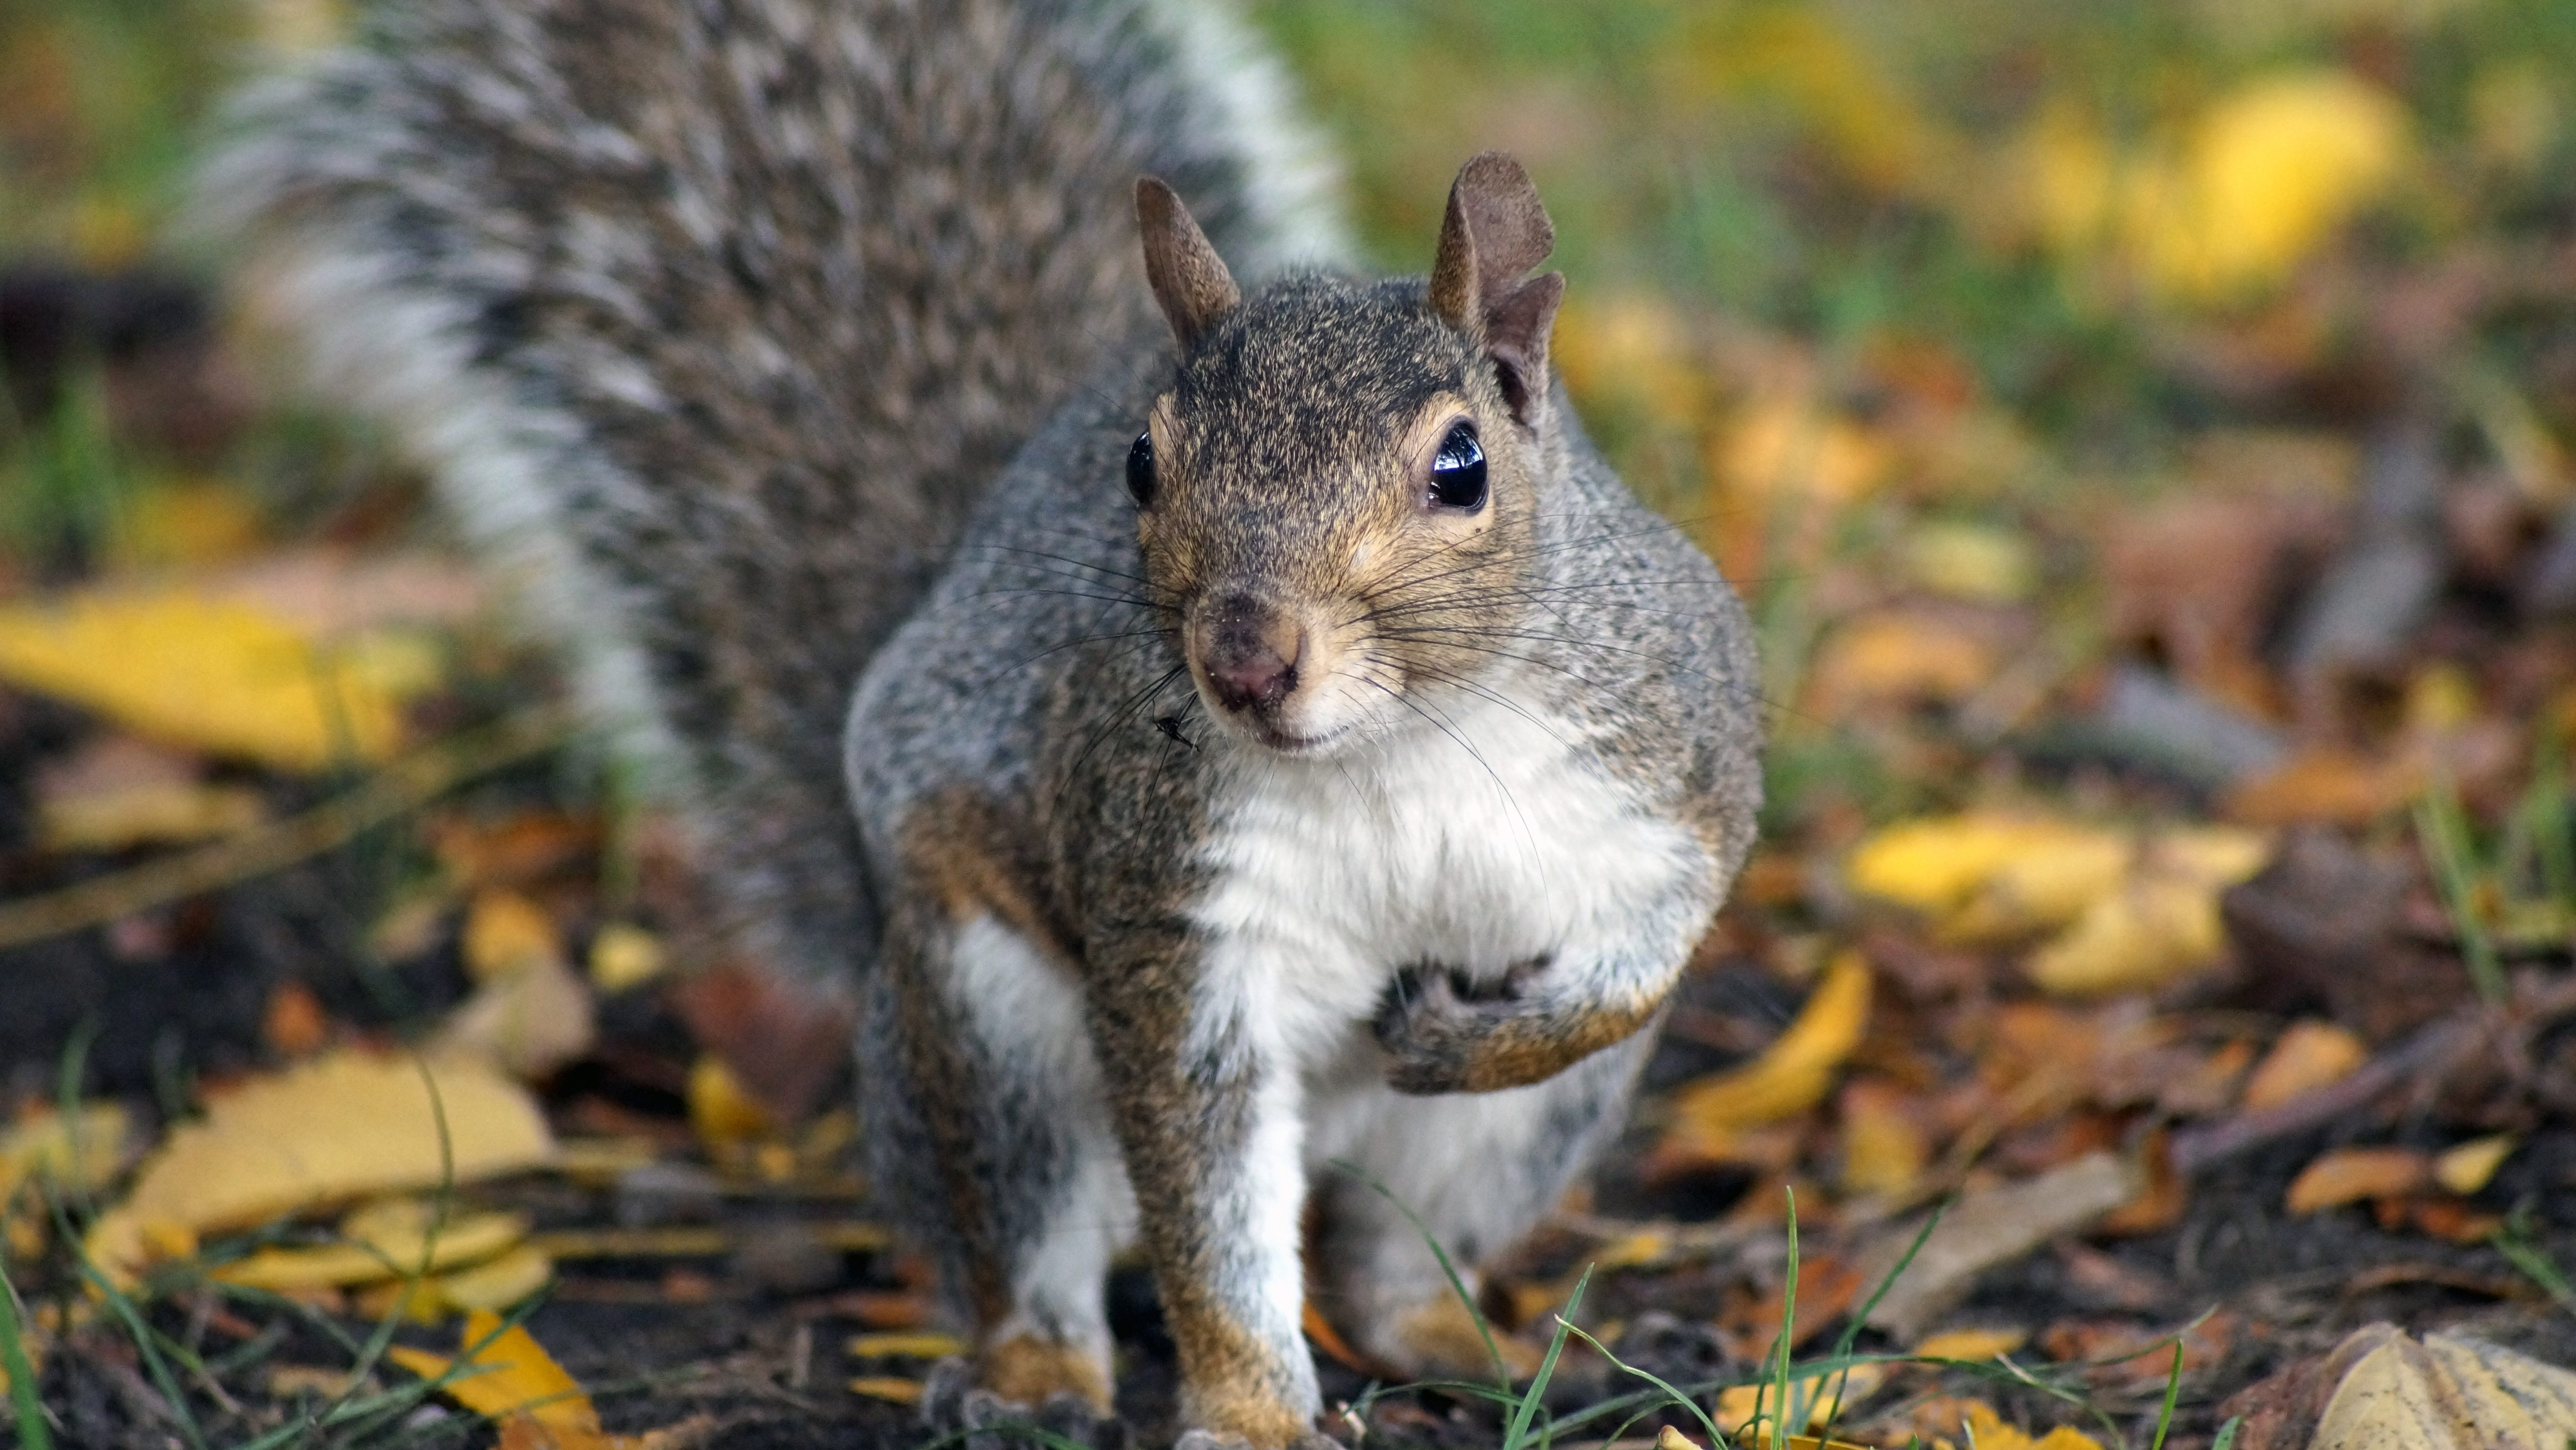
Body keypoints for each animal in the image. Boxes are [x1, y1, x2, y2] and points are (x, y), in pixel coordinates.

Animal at [211, 3, 1762, 1450]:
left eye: (1461, 466)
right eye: (1141, 466)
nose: (1243, 659)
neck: (1399, 747)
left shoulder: (1669, 771)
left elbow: (1647, 957)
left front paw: (1473, 1034)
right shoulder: (1175, 913)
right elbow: (1207, 1205)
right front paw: (1252, 1410)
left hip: (1508, 1143)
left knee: (1395, 1250)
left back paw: (1461, 1330)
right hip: (985, 1022)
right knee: (1029, 1244)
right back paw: (1031, 1372)